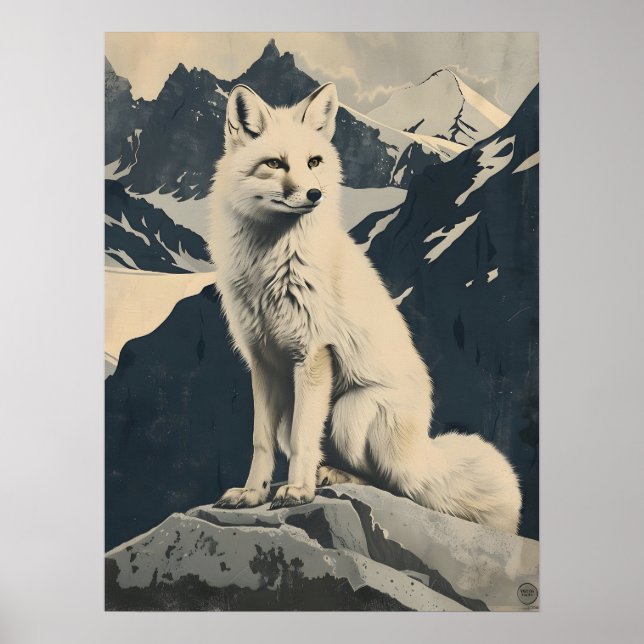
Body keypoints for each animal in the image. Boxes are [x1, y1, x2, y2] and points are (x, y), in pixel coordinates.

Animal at [206, 82, 522, 533]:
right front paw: (253, 494)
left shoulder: (314, 356)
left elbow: (303, 440)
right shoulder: (262, 363)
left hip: (348, 414)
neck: (270, 264)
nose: (314, 194)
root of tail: (419, 449)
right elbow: (260, 441)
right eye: (275, 163)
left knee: (389, 483)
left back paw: (331, 477)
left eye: (314, 162)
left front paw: (297, 492)